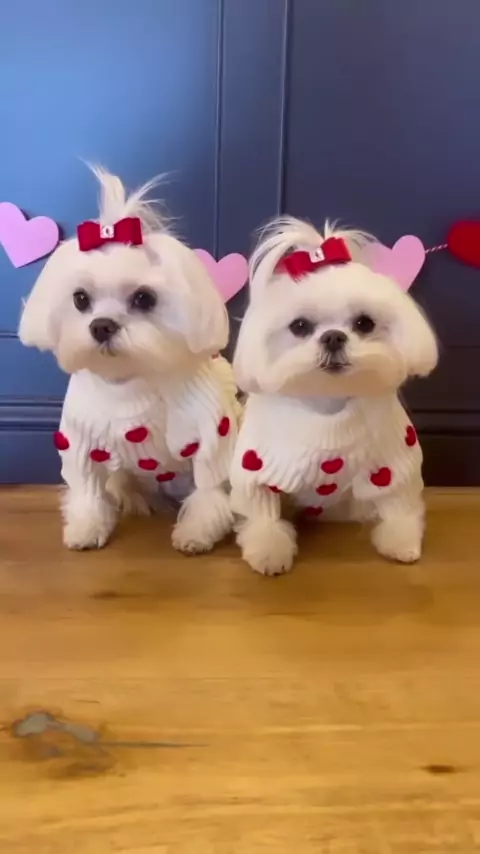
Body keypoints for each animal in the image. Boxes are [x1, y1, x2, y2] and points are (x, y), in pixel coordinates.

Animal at [19, 167, 239, 553]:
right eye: (80, 298)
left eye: (144, 298)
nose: (102, 325)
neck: (129, 380)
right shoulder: (80, 444)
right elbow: (87, 492)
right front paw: (87, 527)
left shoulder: (211, 437)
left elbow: (209, 491)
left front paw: (198, 532)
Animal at [230, 217, 438, 575]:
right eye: (299, 326)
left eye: (364, 323)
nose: (333, 337)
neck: (328, 403)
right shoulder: (256, 472)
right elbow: (262, 516)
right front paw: (269, 552)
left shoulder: (395, 463)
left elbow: (399, 506)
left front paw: (402, 543)